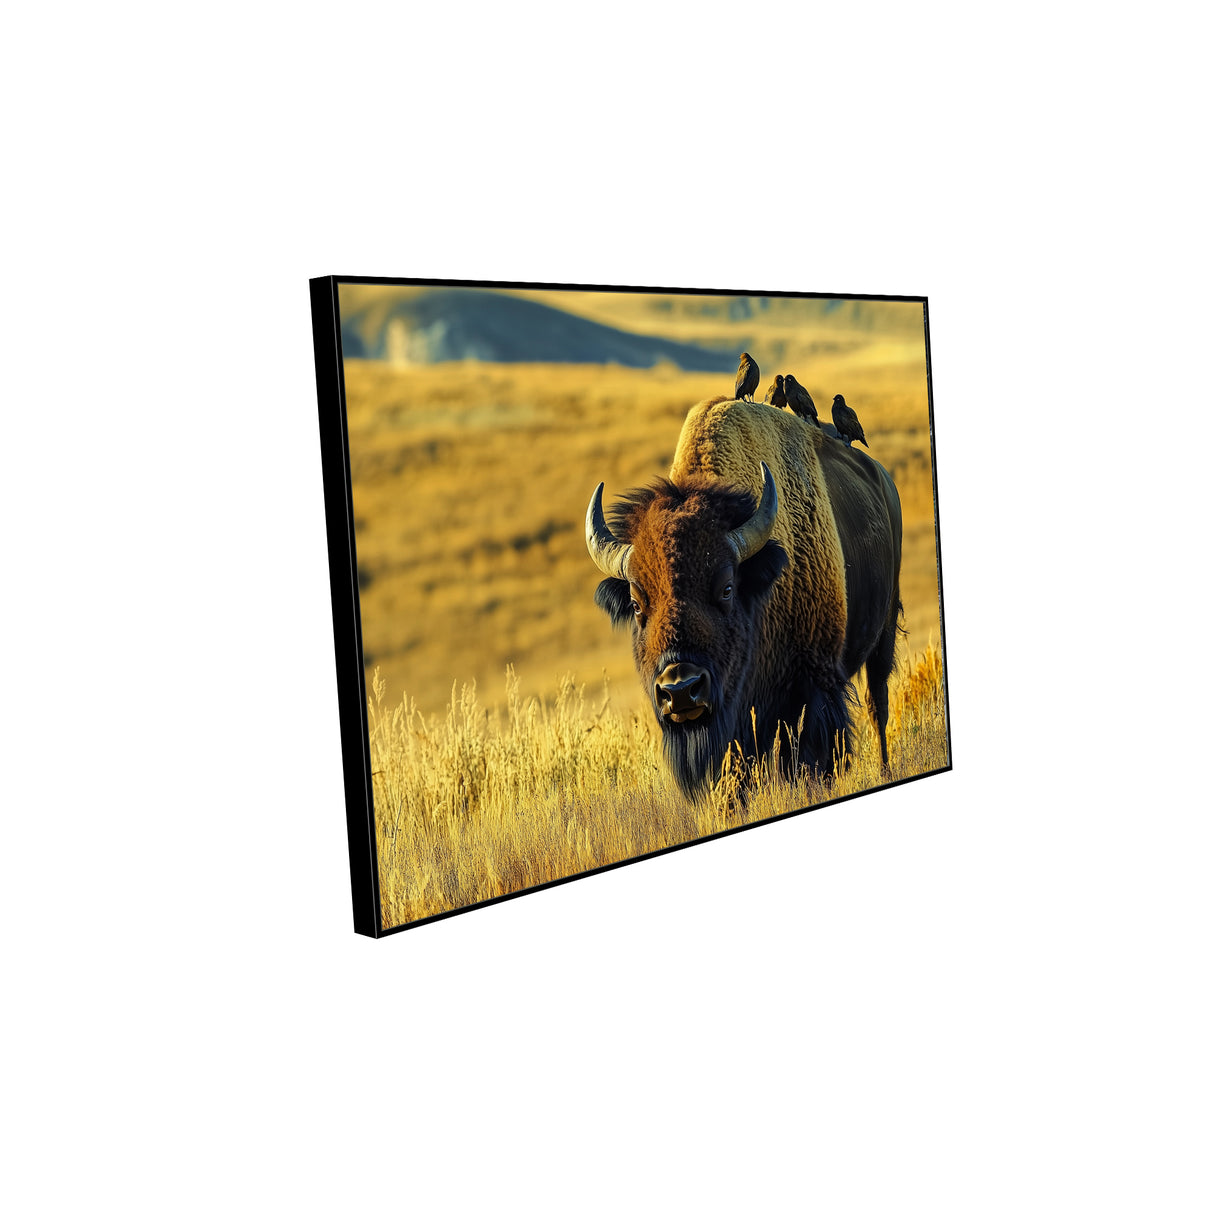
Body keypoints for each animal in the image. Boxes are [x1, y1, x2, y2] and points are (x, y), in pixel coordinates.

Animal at [585, 397, 903, 799]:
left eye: (726, 588)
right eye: (637, 604)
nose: (680, 690)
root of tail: (884, 481)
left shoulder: (813, 686)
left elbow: (809, 758)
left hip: (884, 632)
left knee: (879, 703)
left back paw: (886, 767)